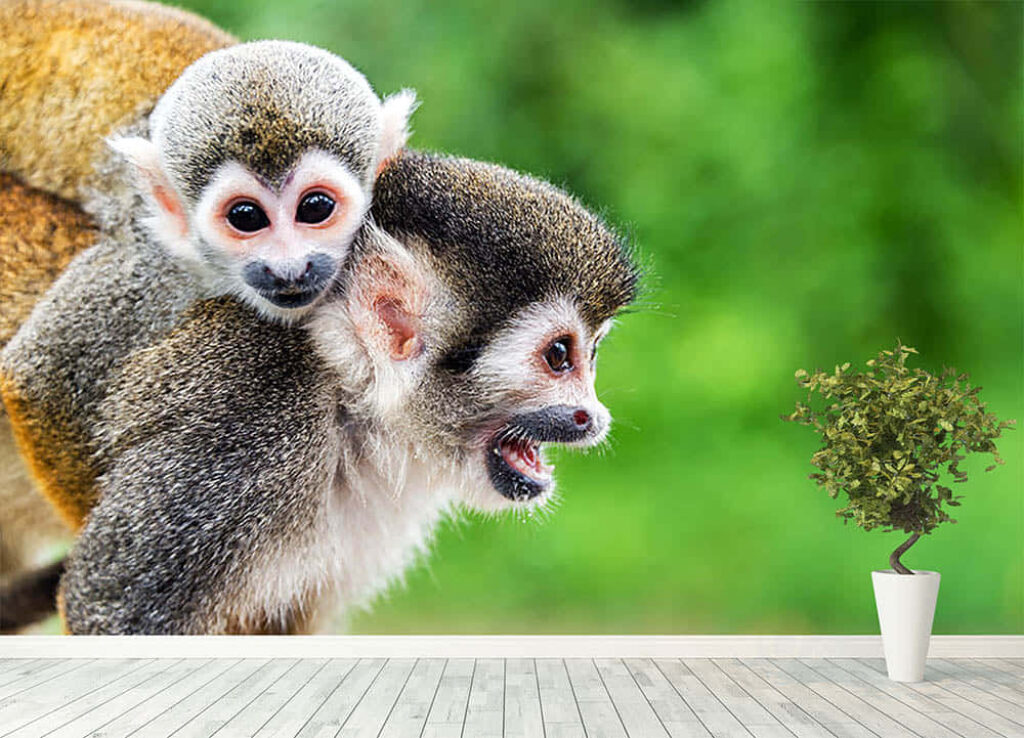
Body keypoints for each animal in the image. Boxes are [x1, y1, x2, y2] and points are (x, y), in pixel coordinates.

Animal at [1, 150, 641, 634]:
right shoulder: (242, 430)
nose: (594, 416)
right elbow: (111, 609)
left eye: (592, 355)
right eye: (559, 356)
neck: (349, 405)